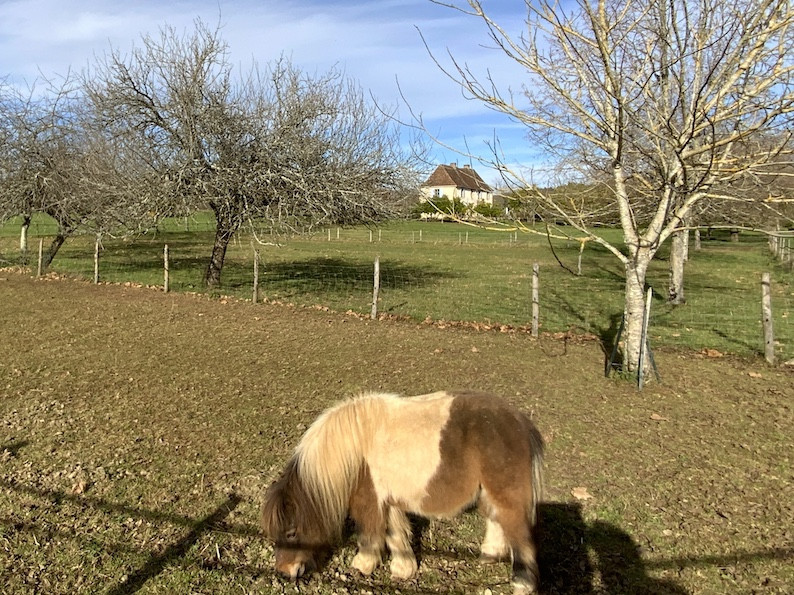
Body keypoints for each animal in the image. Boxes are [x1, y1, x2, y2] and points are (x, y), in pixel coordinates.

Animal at [260, 392, 544, 595]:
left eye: (291, 532)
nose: (285, 571)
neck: (353, 454)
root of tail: (519, 421)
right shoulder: (388, 502)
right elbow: (395, 534)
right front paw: (403, 569)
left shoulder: (370, 502)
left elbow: (370, 535)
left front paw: (363, 565)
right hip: (489, 491)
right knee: (495, 519)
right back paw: (489, 556)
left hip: (508, 494)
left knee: (519, 535)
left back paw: (522, 586)